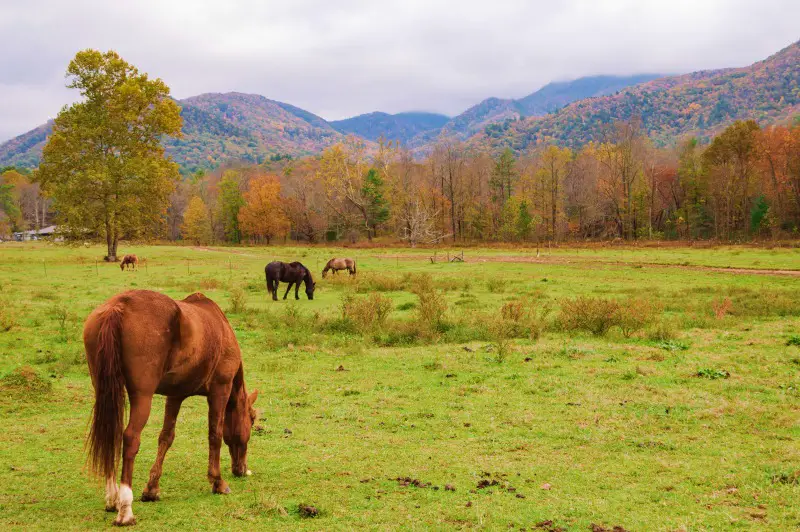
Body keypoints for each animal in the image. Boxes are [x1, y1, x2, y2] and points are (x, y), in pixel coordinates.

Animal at [82, 290, 256, 528]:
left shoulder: (175, 396)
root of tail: (118, 306)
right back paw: (125, 509)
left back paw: (112, 498)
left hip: (104, 390)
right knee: (130, 439)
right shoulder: (220, 390)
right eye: (252, 419)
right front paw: (218, 482)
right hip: (142, 397)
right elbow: (215, 435)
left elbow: (166, 437)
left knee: (112, 435)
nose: (241, 470)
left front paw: (152, 489)